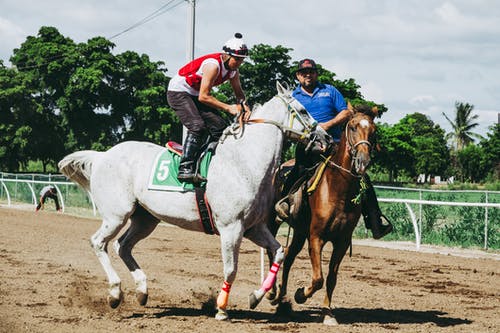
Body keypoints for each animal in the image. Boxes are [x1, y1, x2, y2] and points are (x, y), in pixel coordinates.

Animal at [58, 82, 328, 320]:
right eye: (304, 111)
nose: (326, 139)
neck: (244, 163)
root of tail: (101, 157)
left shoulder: (254, 227)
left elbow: (279, 252)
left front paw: (256, 296)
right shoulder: (231, 228)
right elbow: (231, 269)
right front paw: (221, 308)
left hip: (145, 219)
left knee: (122, 246)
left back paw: (142, 291)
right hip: (117, 215)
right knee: (99, 242)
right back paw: (115, 293)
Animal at [268, 104, 376, 324]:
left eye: (374, 131)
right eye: (353, 127)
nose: (363, 161)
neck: (339, 191)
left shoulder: (342, 241)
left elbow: (331, 279)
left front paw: (327, 312)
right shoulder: (316, 237)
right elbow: (318, 278)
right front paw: (300, 295)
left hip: (300, 232)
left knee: (289, 257)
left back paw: (282, 299)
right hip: (275, 222)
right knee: (273, 251)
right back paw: (273, 293)